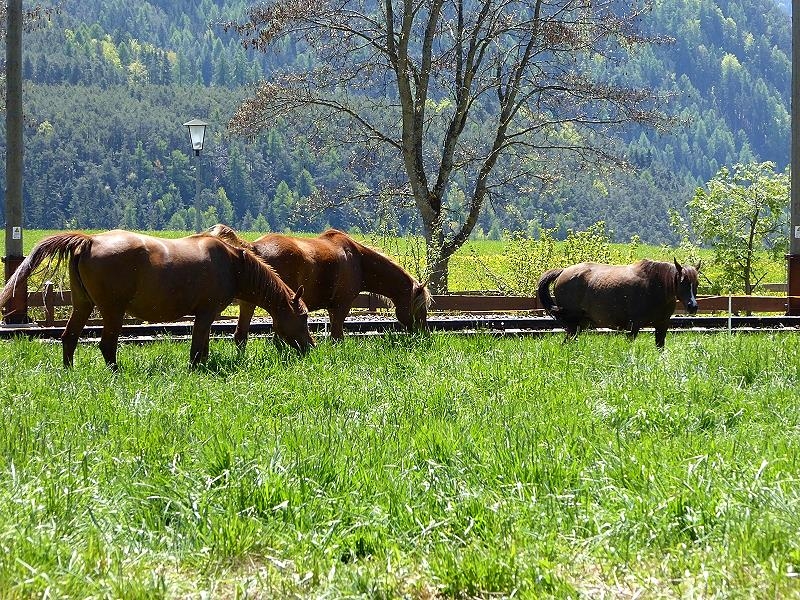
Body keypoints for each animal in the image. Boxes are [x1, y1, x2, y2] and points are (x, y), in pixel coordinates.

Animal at [0, 230, 314, 368]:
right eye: (303, 317)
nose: (310, 347)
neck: (233, 263)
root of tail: (89, 240)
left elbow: (202, 347)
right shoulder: (206, 313)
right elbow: (197, 349)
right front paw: (196, 371)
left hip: (83, 306)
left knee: (69, 338)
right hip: (112, 311)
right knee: (106, 345)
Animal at [206, 224, 432, 346]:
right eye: (420, 307)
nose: (425, 334)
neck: (358, 259)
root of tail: (253, 247)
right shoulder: (341, 306)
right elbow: (337, 336)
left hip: (249, 303)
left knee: (241, 336)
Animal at [536, 258, 700, 350]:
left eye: (696, 283)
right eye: (682, 282)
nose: (693, 306)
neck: (655, 286)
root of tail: (563, 271)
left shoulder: (662, 325)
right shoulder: (634, 326)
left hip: (578, 325)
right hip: (573, 324)